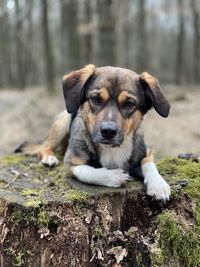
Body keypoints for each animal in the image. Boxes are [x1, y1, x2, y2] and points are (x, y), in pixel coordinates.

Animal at [16, 65, 171, 201]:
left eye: (129, 104)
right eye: (96, 99)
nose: (108, 131)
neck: (111, 150)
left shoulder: (146, 151)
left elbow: (149, 164)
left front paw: (159, 185)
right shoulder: (71, 163)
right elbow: (87, 171)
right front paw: (113, 176)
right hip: (61, 123)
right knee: (45, 147)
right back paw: (49, 158)